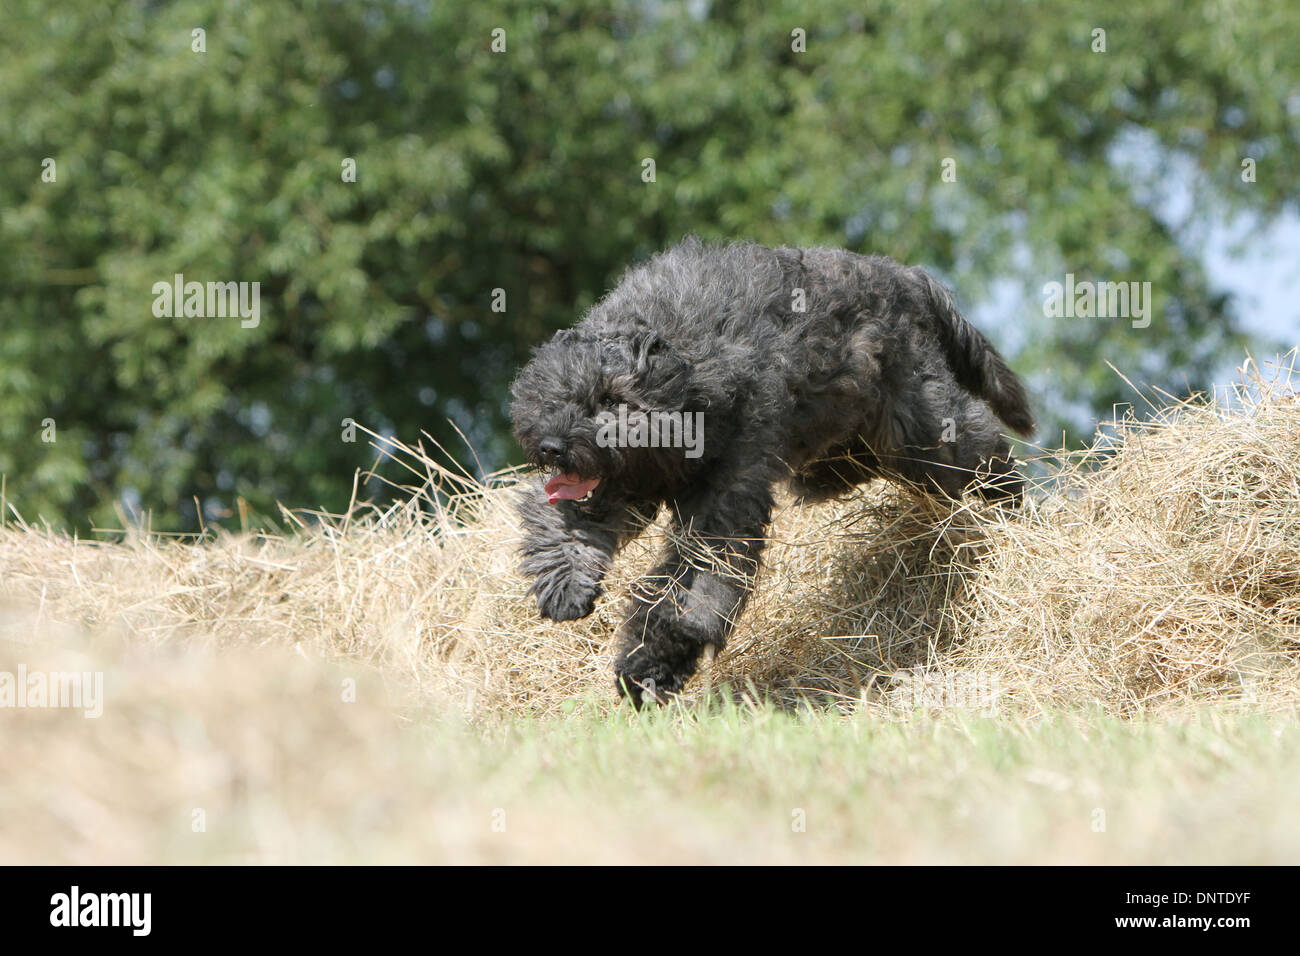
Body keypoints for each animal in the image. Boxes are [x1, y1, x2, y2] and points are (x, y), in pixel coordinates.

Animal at [512, 236, 1029, 707]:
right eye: (558, 393)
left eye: (611, 400)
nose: (552, 445)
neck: (692, 377)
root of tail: (909, 277)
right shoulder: (618, 490)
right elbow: (557, 520)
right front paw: (565, 585)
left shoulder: (723, 503)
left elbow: (694, 583)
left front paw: (657, 658)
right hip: (860, 442)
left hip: (919, 425)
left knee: (979, 442)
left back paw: (1009, 497)